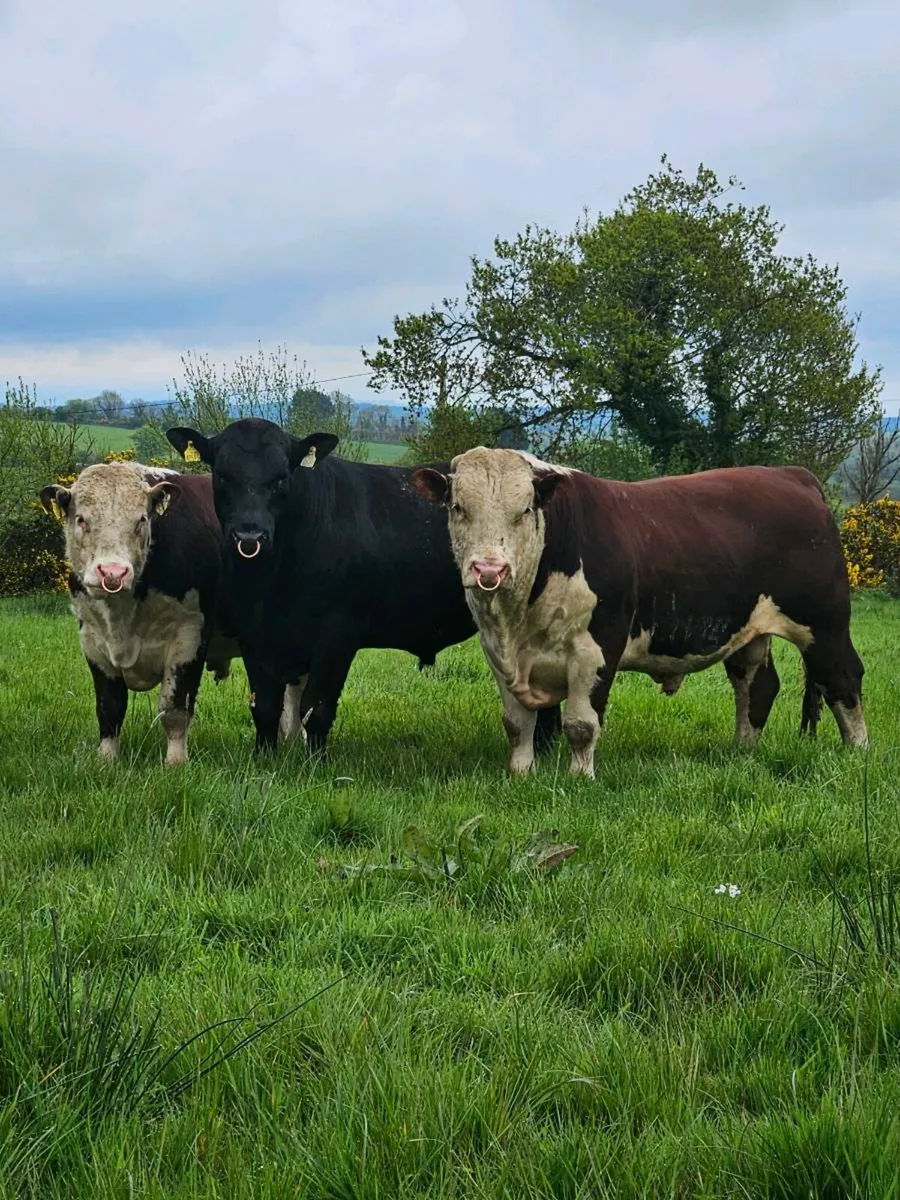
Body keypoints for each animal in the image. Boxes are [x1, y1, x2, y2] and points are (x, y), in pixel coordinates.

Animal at [39, 461, 300, 765]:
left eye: (141, 520)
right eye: (81, 519)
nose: (113, 572)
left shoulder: (189, 636)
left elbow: (174, 708)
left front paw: (175, 762)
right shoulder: (92, 639)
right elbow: (109, 707)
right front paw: (106, 759)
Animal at [164, 419, 562, 756]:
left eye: (281, 478)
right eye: (221, 476)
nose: (250, 535)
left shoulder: (337, 636)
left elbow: (316, 708)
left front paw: (315, 765)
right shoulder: (254, 634)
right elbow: (264, 706)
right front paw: (264, 759)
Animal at [411, 448, 868, 777]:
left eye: (524, 510)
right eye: (458, 508)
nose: (489, 569)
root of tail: (792, 475)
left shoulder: (595, 651)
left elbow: (581, 724)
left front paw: (579, 778)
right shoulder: (498, 654)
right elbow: (516, 723)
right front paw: (520, 774)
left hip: (824, 625)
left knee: (842, 679)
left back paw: (857, 750)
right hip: (751, 631)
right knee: (757, 685)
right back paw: (743, 749)